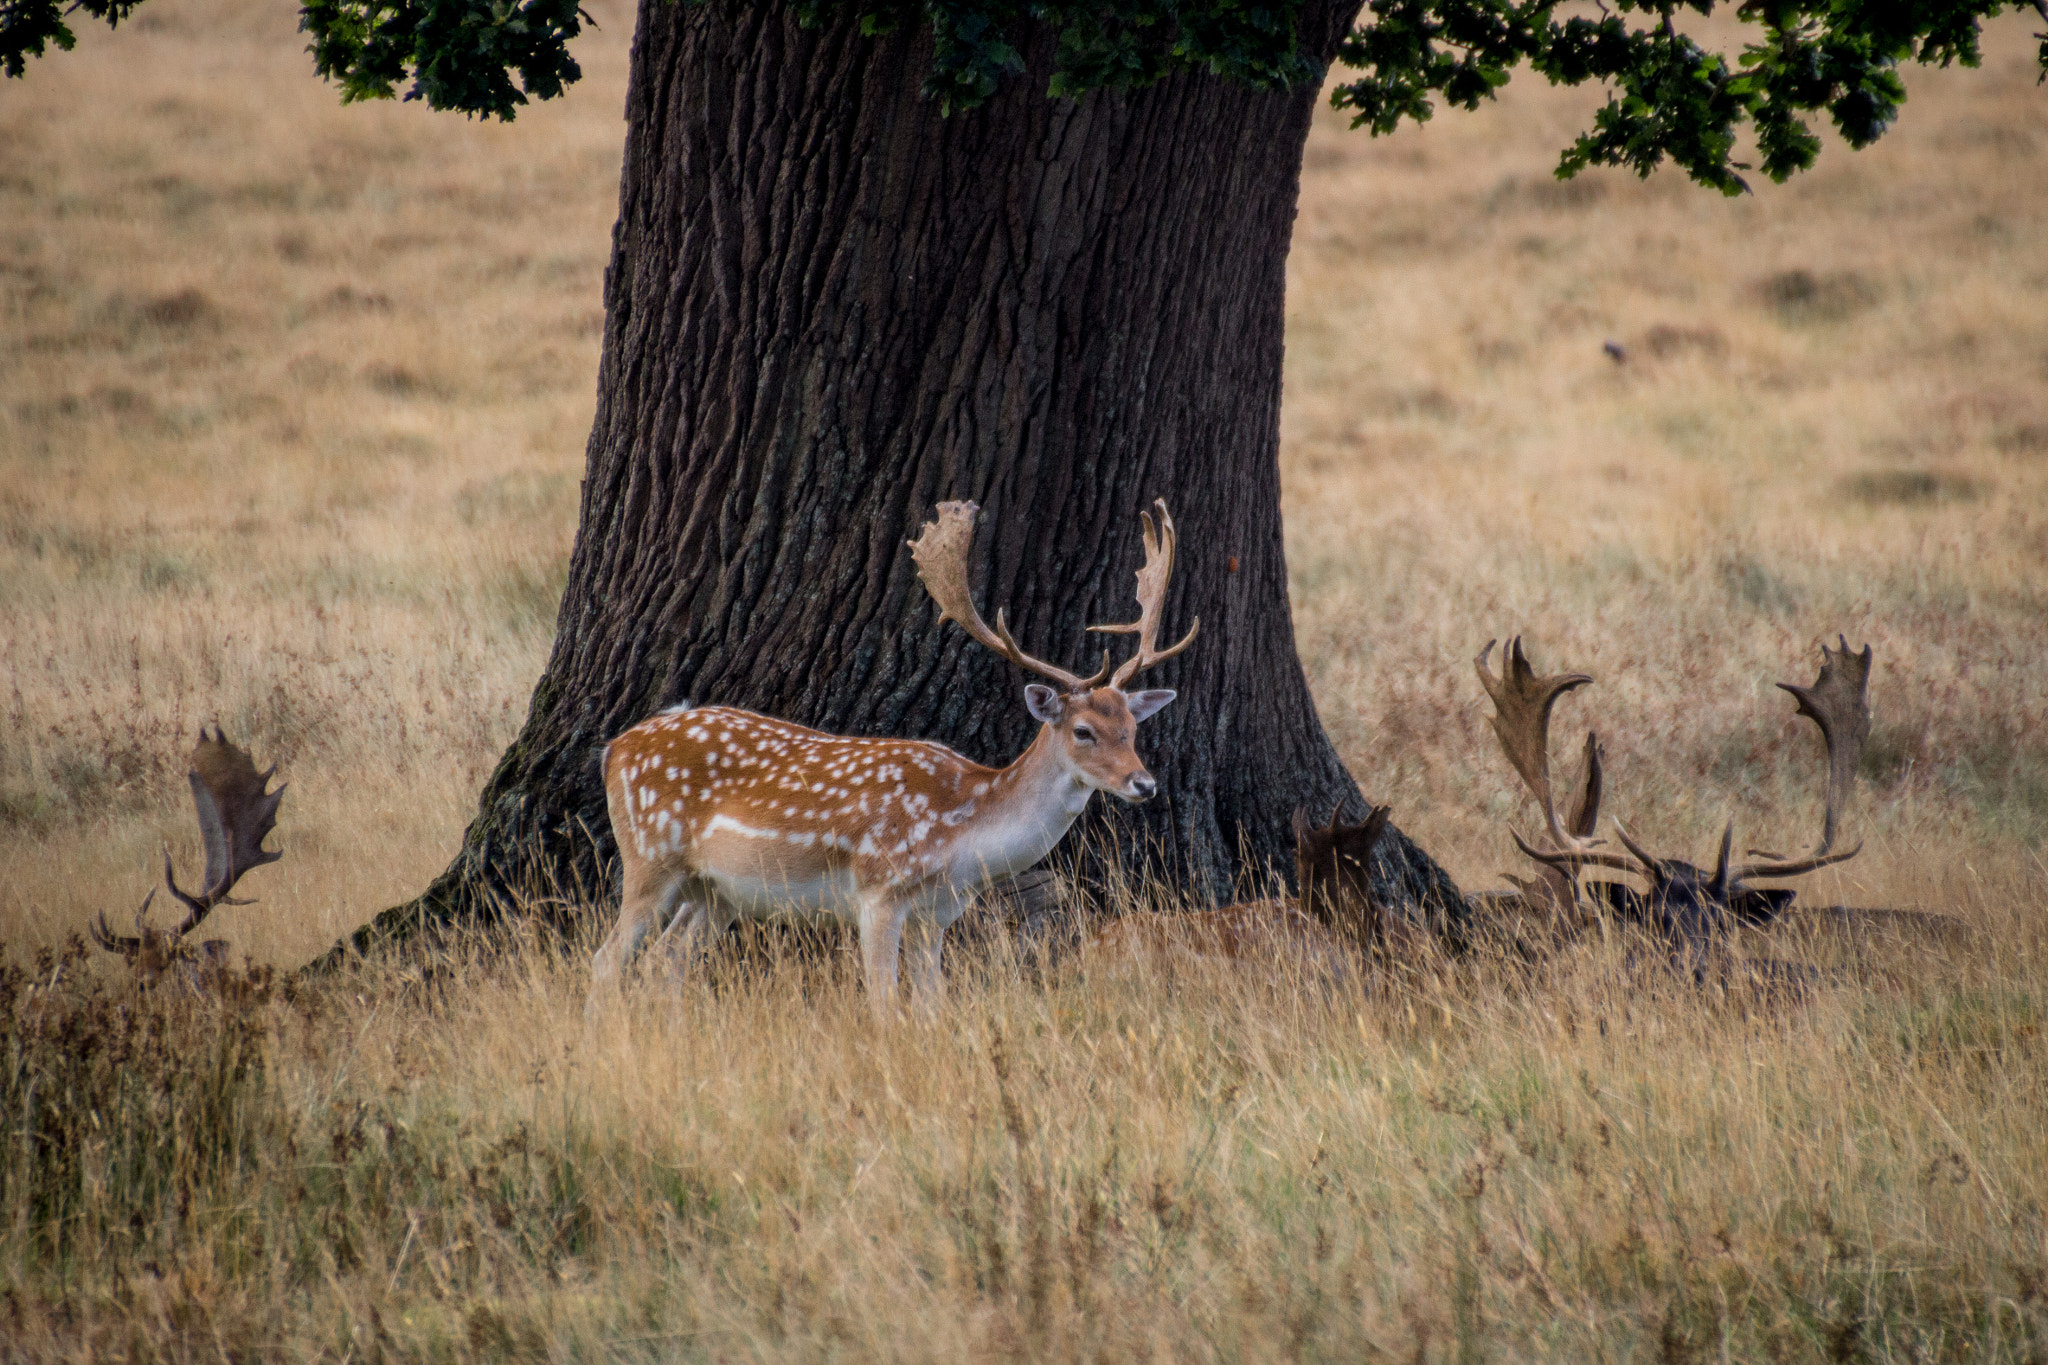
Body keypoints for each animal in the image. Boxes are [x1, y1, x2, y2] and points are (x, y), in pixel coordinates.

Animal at [587, 498, 1200, 1017]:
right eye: (1083, 731)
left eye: (1132, 728)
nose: (1144, 784)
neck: (963, 837)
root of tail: (615, 748)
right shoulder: (879, 890)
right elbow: (884, 1004)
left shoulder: (939, 914)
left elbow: (932, 1005)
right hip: (650, 854)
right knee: (606, 961)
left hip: (715, 890)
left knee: (665, 963)